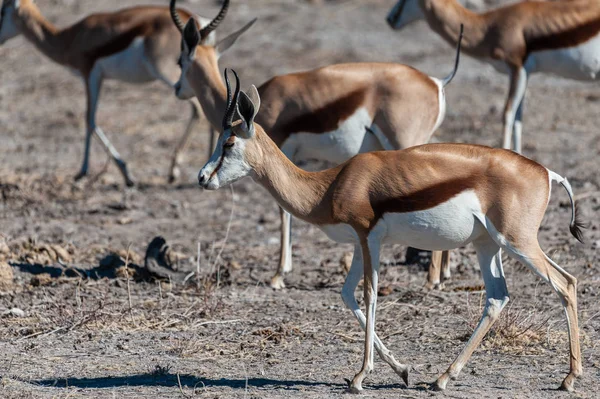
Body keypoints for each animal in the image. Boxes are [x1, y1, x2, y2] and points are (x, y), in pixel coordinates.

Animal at [0, 0, 220, 186]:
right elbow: (90, 120)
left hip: (172, 76)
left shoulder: (90, 74)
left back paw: (175, 170)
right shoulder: (98, 78)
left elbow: (89, 119)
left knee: (198, 108)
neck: (69, 38)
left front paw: (102, 172)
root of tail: (194, 18)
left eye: (2, 10)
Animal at [171, 0, 462, 290]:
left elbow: (283, 210)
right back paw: (445, 270)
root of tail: (436, 82)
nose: (177, 88)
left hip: (406, 142)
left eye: (180, 60)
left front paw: (279, 274)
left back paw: (432, 278)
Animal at [199, 69, 584, 394]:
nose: (202, 177)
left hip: (517, 241)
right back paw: (442, 378)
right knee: (497, 297)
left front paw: (359, 377)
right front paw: (402, 371)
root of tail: (547, 173)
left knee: (565, 283)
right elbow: (347, 294)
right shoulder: (359, 243)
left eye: (229, 143)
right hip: (488, 244)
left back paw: (569, 378)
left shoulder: (370, 239)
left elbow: (370, 294)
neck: (330, 185)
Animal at [386, 0, 600, 155]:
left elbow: (507, 115)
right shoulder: (526, 73)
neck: (489, 27)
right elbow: (518, 120)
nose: (390, 18)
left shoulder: (517, 68)